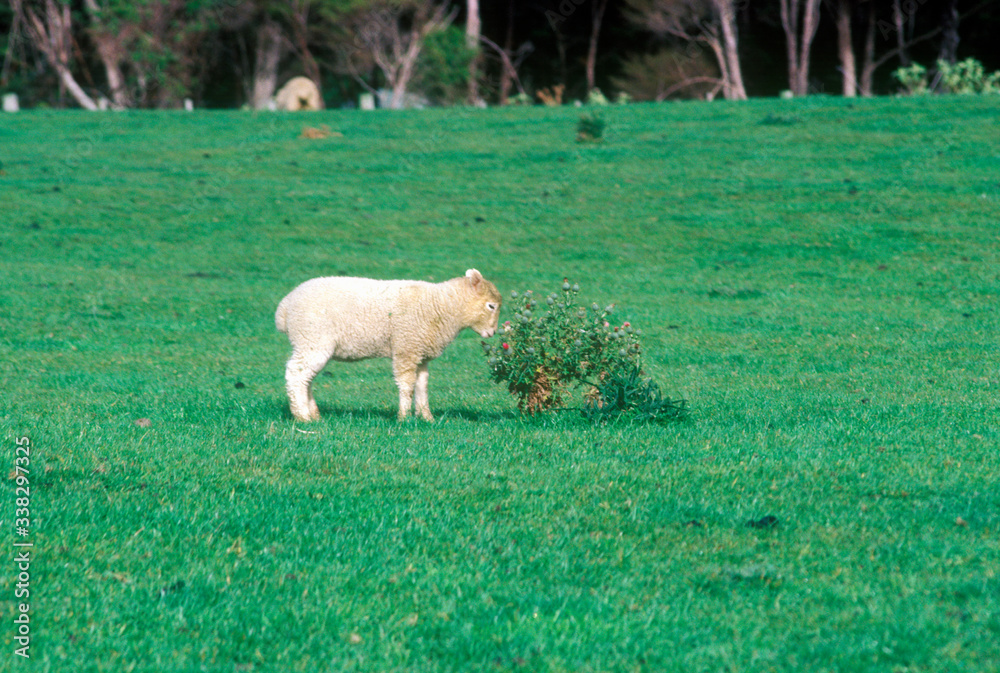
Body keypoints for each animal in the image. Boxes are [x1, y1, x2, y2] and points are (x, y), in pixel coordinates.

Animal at [276, 269, 502, 422]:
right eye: (491, 306)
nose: (492, 332)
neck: (442, 306)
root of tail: (285, 307)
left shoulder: (420, 352)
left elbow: (422, 385)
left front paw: (426, 417)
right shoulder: (406, 347)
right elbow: (407, 385)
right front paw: (404, 417)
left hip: (310, 342)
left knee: (306, 378)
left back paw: (314, 414)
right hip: (312, 339)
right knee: (295, 373)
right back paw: (302, 416)